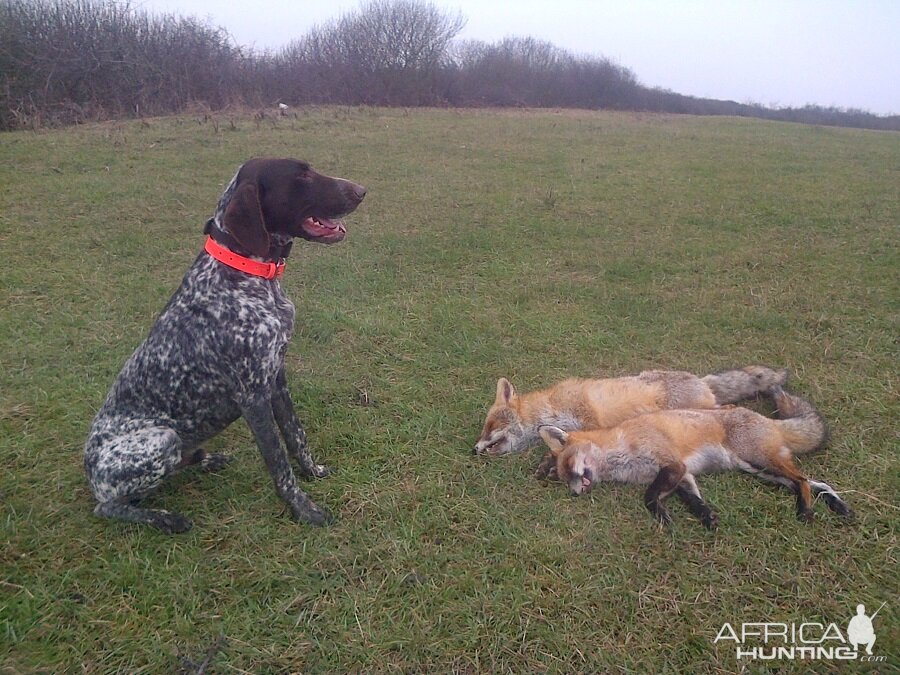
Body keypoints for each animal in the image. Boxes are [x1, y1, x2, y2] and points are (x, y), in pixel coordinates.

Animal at [83, 158, 366, 532]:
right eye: (301, 174)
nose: (362, 190)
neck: (249, 274)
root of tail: (88, 469)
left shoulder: (276, 379)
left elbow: (296, 436)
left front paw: (313, 472)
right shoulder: (253, 397)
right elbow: (279, 464)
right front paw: (304, 509)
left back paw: (206, 460)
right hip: (161, 440)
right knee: (108, 506)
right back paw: (165, 519)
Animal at [536, 386, 856, 528]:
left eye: (570, 468)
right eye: (565, 480)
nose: (575, 493)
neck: (620, 451)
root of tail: (768, 420)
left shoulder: (672, 464)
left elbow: (649, 497)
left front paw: (662, 516)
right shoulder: (683, 475)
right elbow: (693, 499)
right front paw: (706, 516)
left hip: (761, 460)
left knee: (802, 481)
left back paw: (806, 511)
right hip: (759, 470)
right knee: (817, 482)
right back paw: (838, 506)